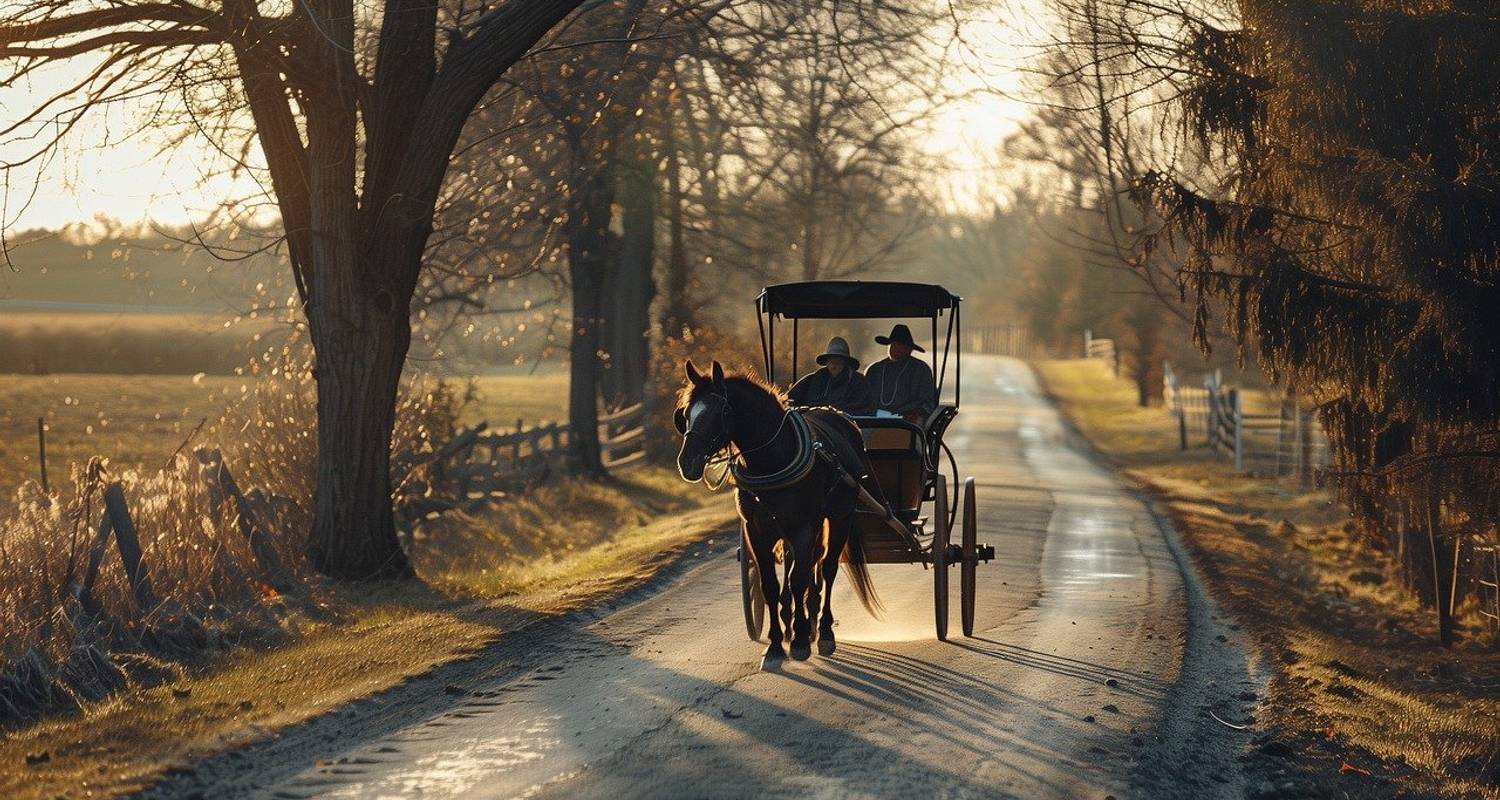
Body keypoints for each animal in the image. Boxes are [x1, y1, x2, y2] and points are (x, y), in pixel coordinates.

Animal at [672, 358, 876, 663]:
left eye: (721, 411)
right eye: (686, 414)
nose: (687, 463)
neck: (773, 459)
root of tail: (841, 417)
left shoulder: (803, 528)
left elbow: (798, 579)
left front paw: (801, 640)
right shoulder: (758, 531)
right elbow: (770, 584)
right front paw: (777, 644)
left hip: (839, 517)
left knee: (827, 569)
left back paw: (823, 631)